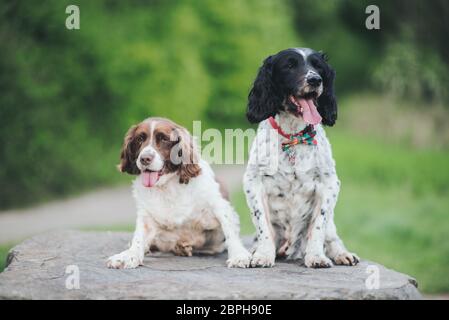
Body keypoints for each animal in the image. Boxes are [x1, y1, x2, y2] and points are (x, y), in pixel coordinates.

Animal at [107, 117, 250, 268]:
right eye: (140, 138)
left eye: (164, 139)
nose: (144, 159)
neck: (167, 186)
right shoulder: (146, 216)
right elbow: (139, 238)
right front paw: (128, 256)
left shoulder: (219, 206)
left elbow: (229, 229)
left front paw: (239, 254)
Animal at [243, 48, 358, 268]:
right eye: (289, 66)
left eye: (318, 67)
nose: (315, 80)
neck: (293, 137)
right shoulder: (253, 182)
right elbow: (263, 225)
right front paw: (263, 255)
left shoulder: (330, 184)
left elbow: (318, 226)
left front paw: (316, 256)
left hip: (331, 226)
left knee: (332, 237)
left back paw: (342, 254)